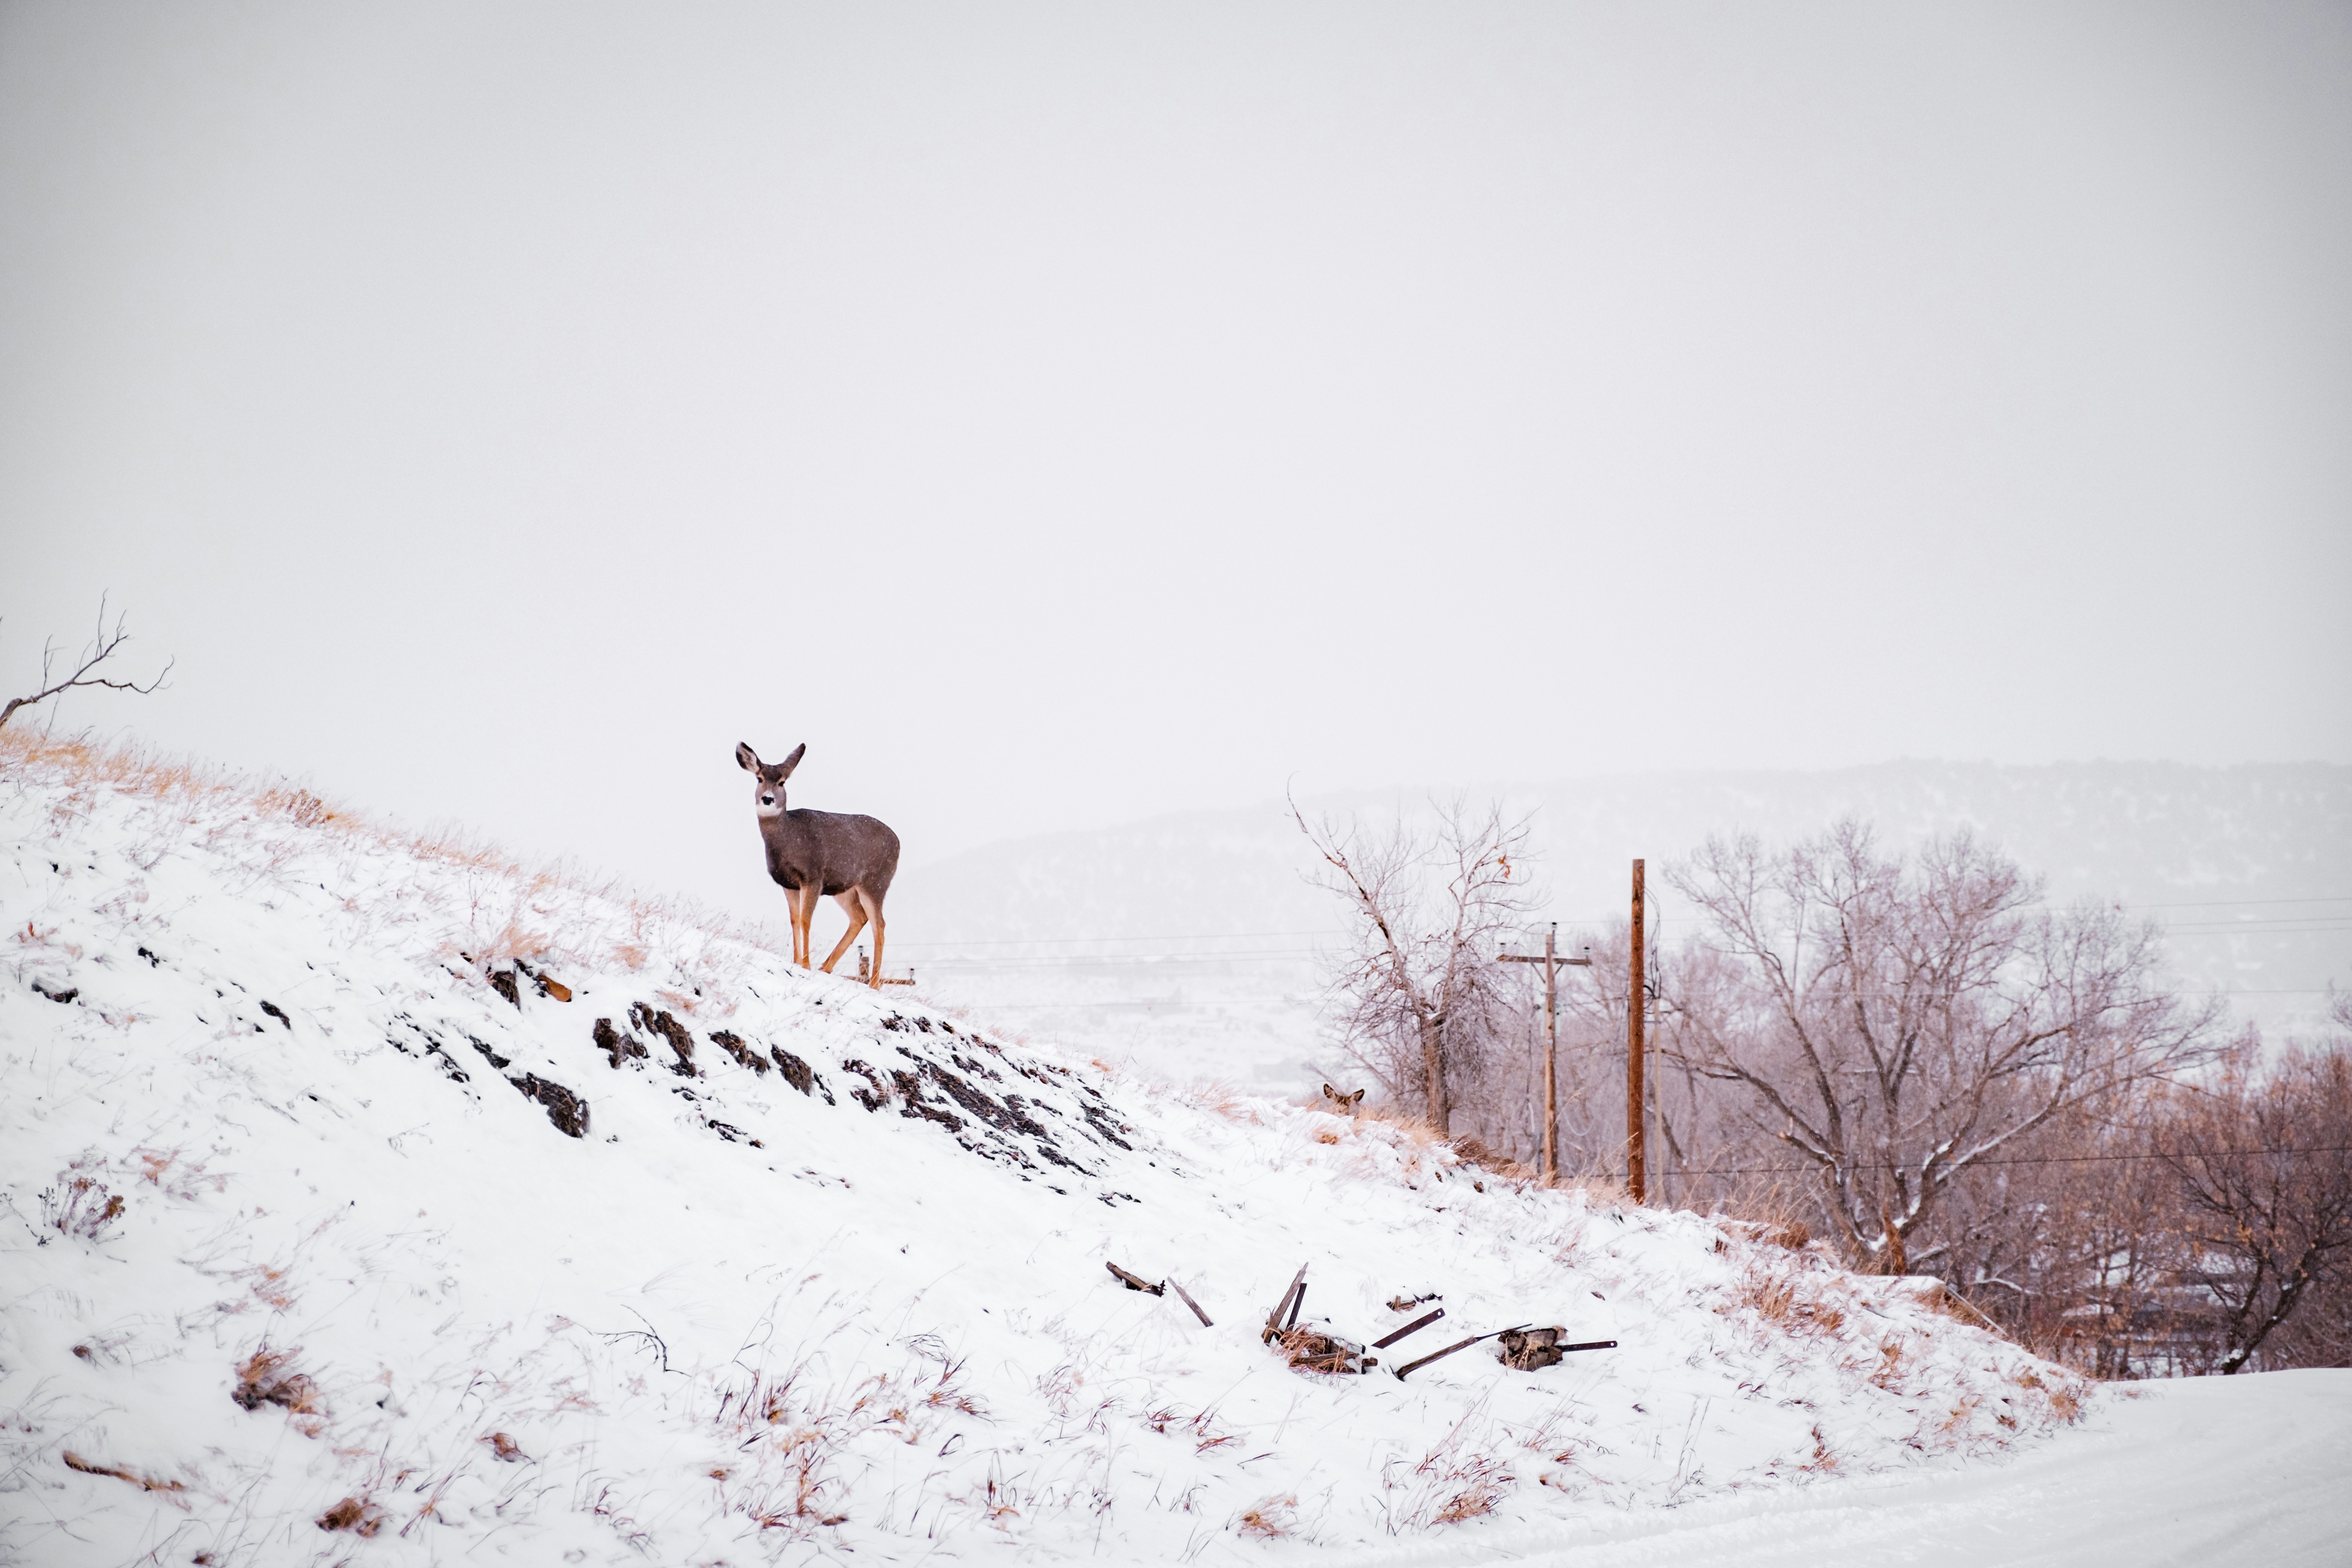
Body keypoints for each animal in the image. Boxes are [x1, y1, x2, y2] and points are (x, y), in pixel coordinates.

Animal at [738, 743, 903, 987]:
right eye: (759, 779)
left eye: (782, 782)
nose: (768, 799)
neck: (788, 839)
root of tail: (898, 842)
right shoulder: (788, 883)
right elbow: (794, 920)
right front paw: (797, 961)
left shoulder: (813, 877)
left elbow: (806, 920)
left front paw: (805, 964)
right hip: (845, 889)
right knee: (859, 918)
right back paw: (826, 967)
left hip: (875, 883)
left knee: (879, 925)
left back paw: (874, 984)